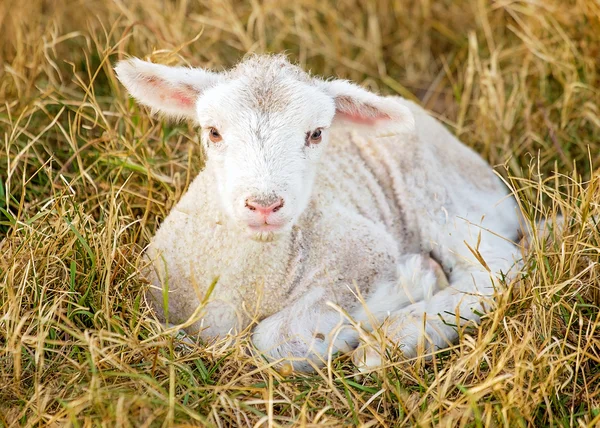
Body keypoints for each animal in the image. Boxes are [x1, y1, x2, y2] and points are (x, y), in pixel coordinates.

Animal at [115, 55, 524, 372]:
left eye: (316, 134)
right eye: (213, 132)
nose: (265, 205)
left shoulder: (367, 249)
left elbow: (273, 340)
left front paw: (411, 282)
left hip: (439, 197)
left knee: (496, 269)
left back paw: (392, 339)